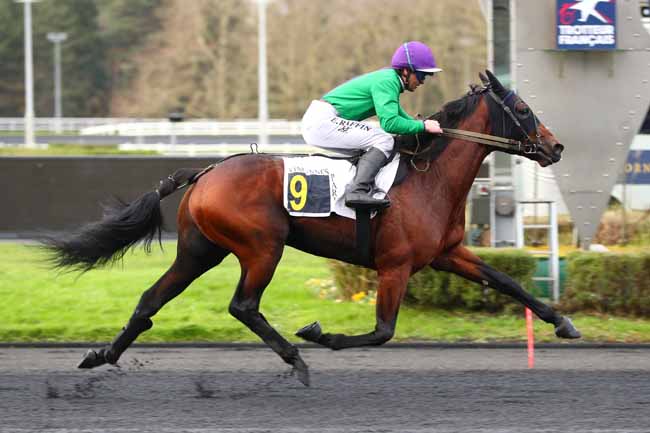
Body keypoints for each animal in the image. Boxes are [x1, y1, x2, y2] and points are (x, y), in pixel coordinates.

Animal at [41, 70, 576, 384]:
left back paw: (101, 355)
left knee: (152, 299)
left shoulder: (446, 254)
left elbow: (506, 280)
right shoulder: (396, 265)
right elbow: (382, 331)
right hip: (262, 247)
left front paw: (562, 322)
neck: (428, 176)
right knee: (243, 305)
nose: (555, 147)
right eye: (523, 110)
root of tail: (206, 172)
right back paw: (295, 359)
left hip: (200, 250)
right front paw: (322, 335)